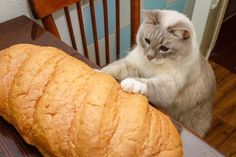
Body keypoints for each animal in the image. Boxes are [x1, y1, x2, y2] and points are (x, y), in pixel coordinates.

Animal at [101, 9, 216, 137]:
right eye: (147, 41)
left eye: (164, 49)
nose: (149, 57)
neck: (153, 66)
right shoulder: (135, 65)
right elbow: (114, 68)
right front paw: (98, 72)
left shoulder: (167, 86)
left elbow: (146, 83)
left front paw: (129, 83)